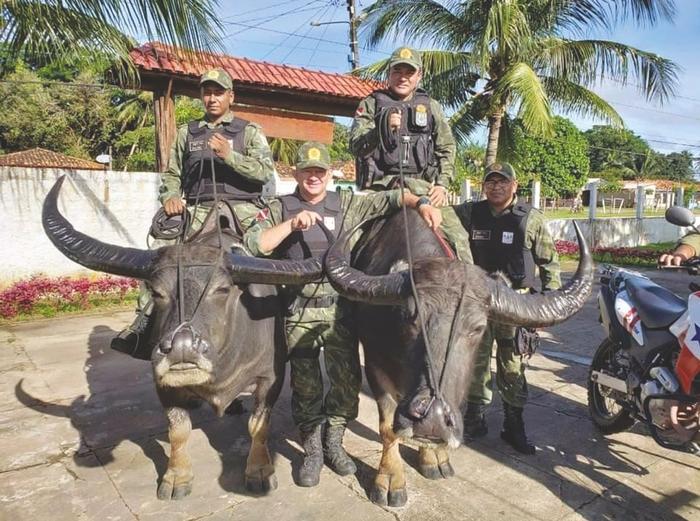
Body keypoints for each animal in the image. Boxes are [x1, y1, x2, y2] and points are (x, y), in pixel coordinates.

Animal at [45, 177, 324, 498]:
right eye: (156, 291)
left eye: (223, 289)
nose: (182, 349)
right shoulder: (162, 381)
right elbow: (178, 430)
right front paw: (176, 478)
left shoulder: (270, 378)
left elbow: (259, 425)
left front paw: (259, 471)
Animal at [322, 209, 592, 506]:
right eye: (408, 316)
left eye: (477, 328)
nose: (433, 418)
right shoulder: (374, 365)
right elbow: (388, 427)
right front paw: (390, 480)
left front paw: (434, 458)